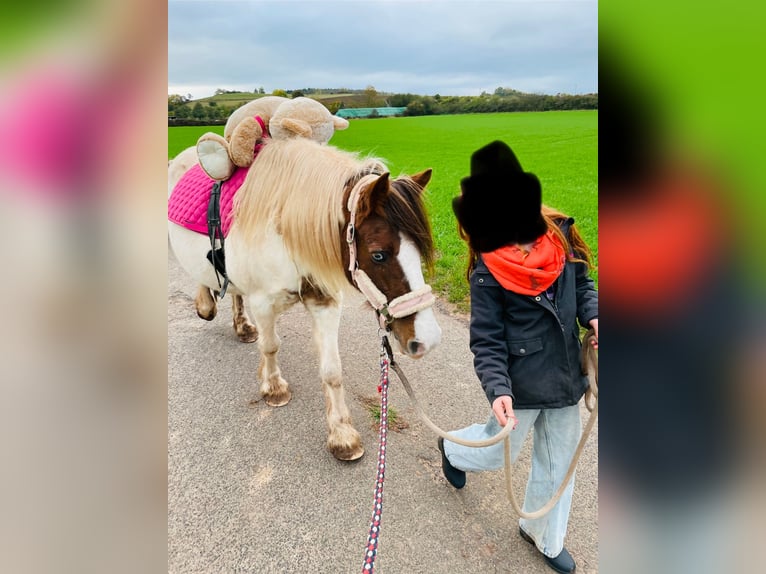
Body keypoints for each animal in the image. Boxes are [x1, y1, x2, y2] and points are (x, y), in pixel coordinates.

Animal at [170, 137, 444, 462]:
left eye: (420, 250)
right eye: (379, 254)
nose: (427, 340)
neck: (286, 234)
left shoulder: (325, 303)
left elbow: (332, 370)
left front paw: (342, 434)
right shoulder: (263, 303)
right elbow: (271, 346)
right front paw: (274, 387)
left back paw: (242, 326)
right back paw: (206, 304)